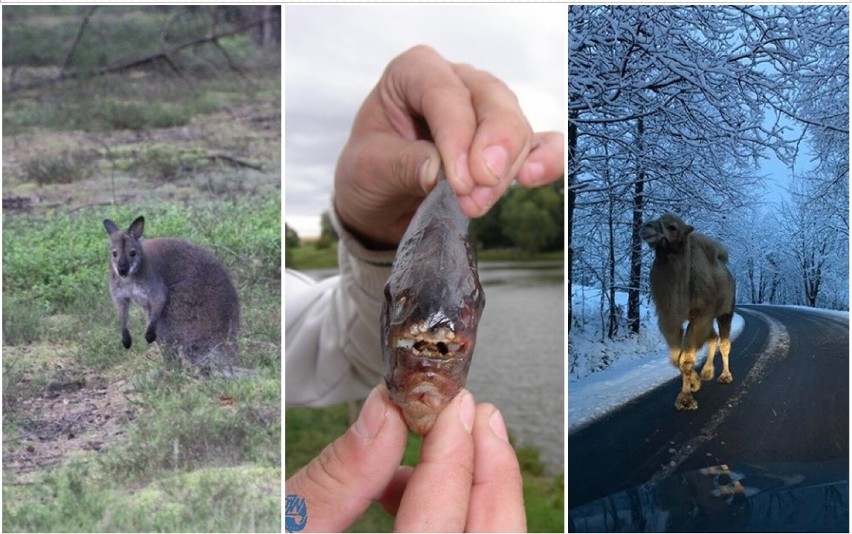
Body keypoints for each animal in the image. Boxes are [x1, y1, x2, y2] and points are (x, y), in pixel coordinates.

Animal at [644, 216, 736, 412]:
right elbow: (676, 358)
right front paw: (694, 384)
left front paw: (686, 399)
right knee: (713, 337)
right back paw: (707, 373)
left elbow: (685, 358)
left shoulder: (701, 316)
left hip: (725, 311)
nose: (646, 227)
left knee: (724, 343)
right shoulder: (669, 319)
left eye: (672, 227)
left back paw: (724, 376)